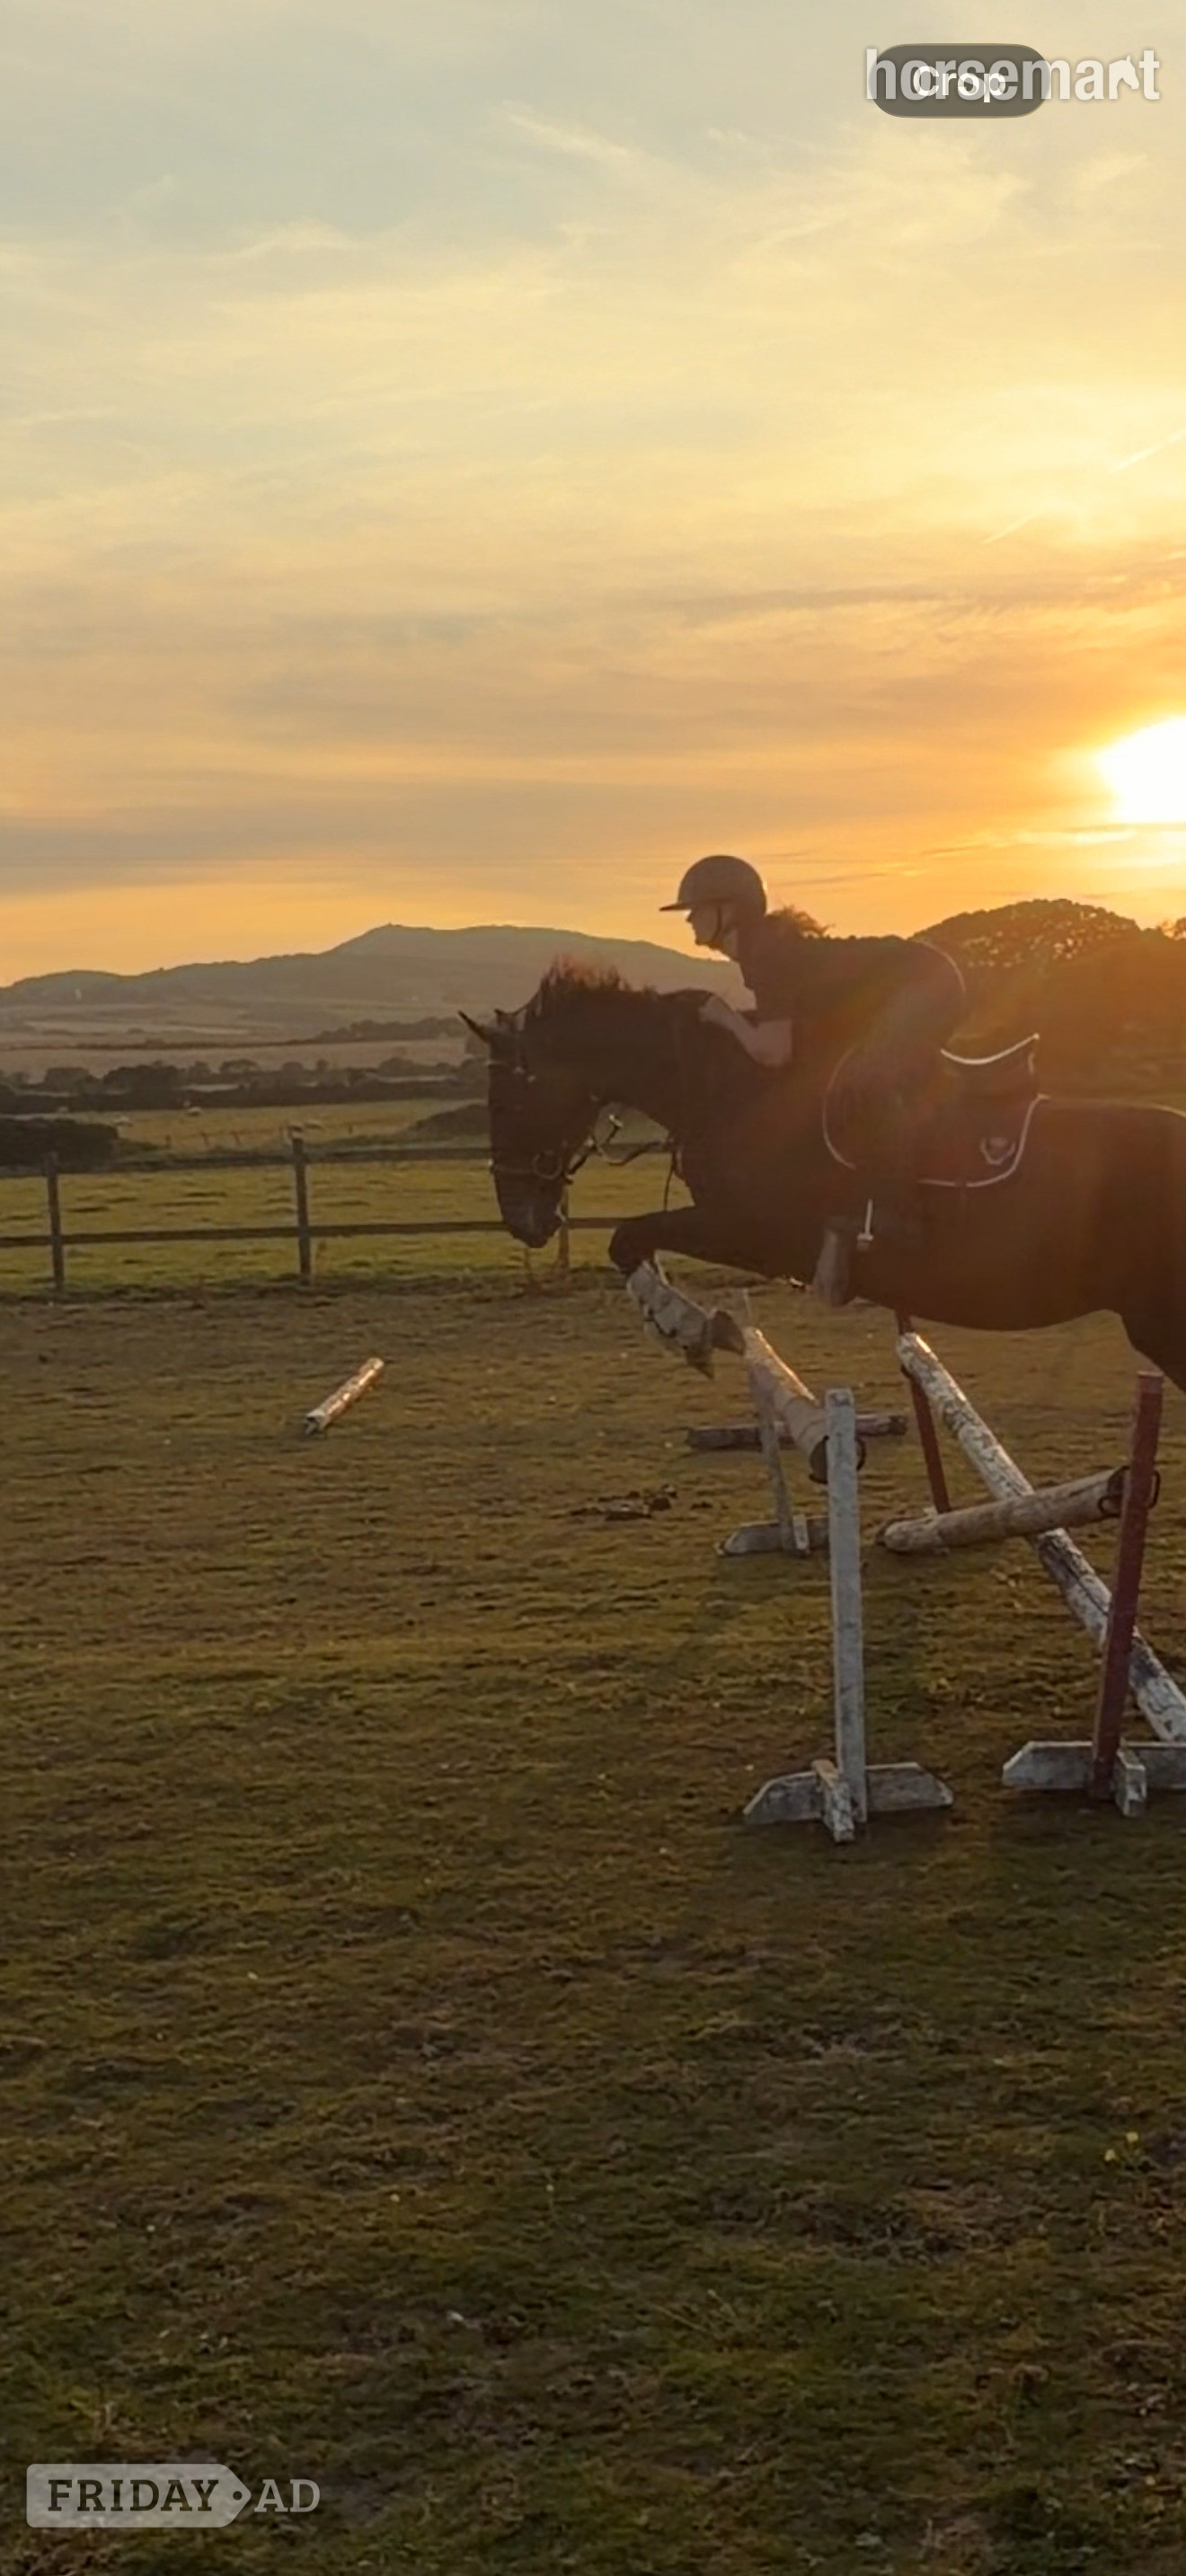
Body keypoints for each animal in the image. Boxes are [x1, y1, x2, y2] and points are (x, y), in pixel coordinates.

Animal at [463, 963, 1186, 1396]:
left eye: (508, 1103)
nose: (519, 1218)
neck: (736, 1091)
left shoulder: (753, 1233)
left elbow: (627, 1240)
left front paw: (693, 1332)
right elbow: (633, 1244)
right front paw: (691, 1330)